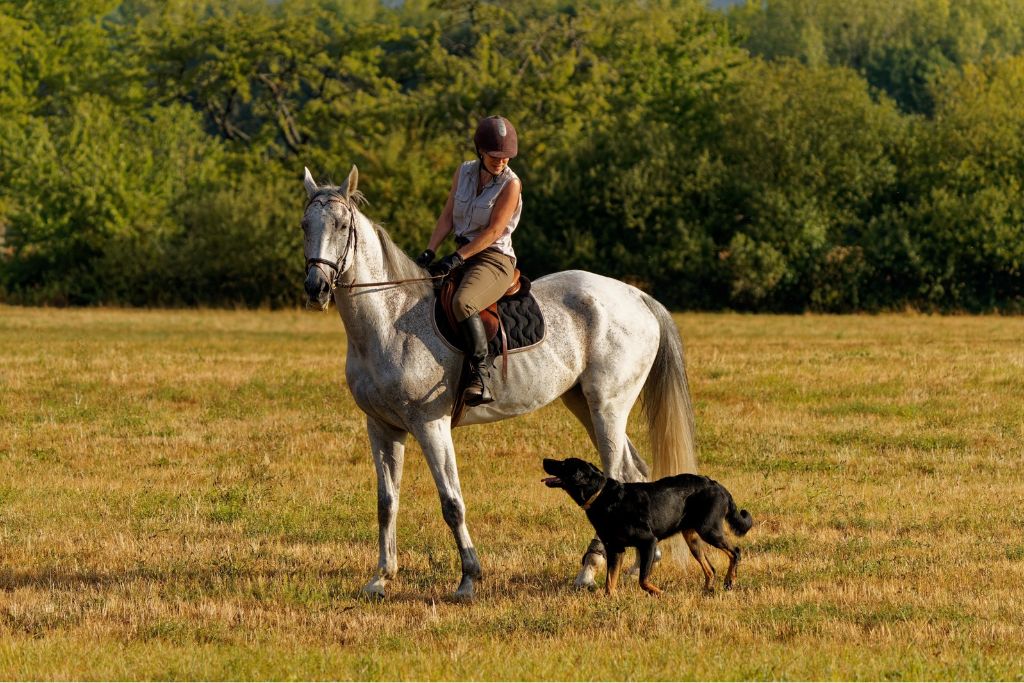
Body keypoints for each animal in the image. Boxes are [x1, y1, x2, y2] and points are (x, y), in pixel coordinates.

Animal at [299, 163, 700, 598]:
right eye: (305, 224)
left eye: (341, 225)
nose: (316, 289)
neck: (388, 319)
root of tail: (637, 296)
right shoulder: (382, 426)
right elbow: (386, 503)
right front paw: (380, 579)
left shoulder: (430, 425)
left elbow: (451, 503)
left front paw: (468, 579)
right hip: (584, 404)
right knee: (633, 470)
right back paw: (640, 561)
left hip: (608, 406)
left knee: (614, 474)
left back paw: (590, 569)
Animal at [544, 458, 753, 598]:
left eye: (564, 464)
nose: (545, 459)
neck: (602, 495)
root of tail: (719, 487)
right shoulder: (615, 549)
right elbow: (610, 581)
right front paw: (610, 600)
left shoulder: (648, 542)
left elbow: (643, 580)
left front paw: (660, 593)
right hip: (692, 538)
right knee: (710, 569)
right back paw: (708, 590)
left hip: (709, 530)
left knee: (735, 551)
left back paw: (729, 581)